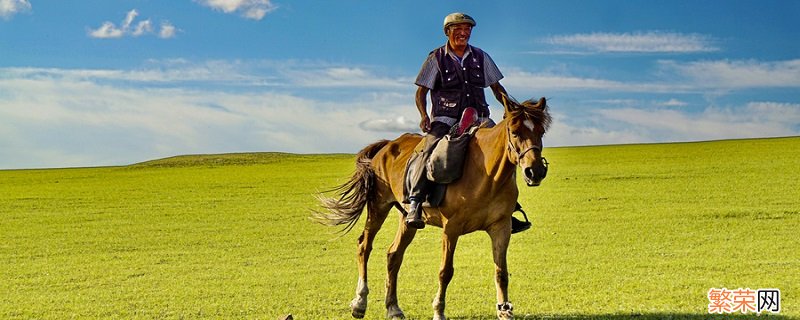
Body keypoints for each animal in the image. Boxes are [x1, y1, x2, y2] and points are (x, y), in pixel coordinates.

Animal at [314, 96, 552, 320]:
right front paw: (439, 311)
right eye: (515, 132)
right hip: (379, 206)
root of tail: (386, 145)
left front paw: (504, 310)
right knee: (364, 246)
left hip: (407, 218)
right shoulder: (451, 228)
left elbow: (501, 271)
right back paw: (359, 303)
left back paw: (393, 308)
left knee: (393, 255)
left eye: (541, 131)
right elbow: (445, 271)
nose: (535, 171)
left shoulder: (500, 227)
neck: (487, 175)